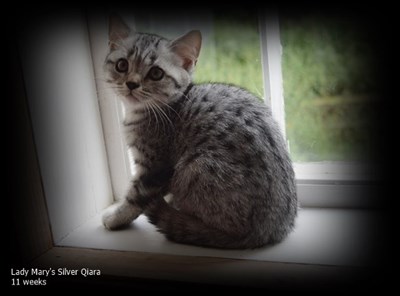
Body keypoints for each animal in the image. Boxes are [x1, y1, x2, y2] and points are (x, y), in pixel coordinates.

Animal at [102, 15, 296, 249]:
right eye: (122, 65)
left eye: (156, 73)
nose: (131, 83)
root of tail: (267, 232)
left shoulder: (155, 168)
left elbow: (135, 197)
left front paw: (115, 218)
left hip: (194, 166)